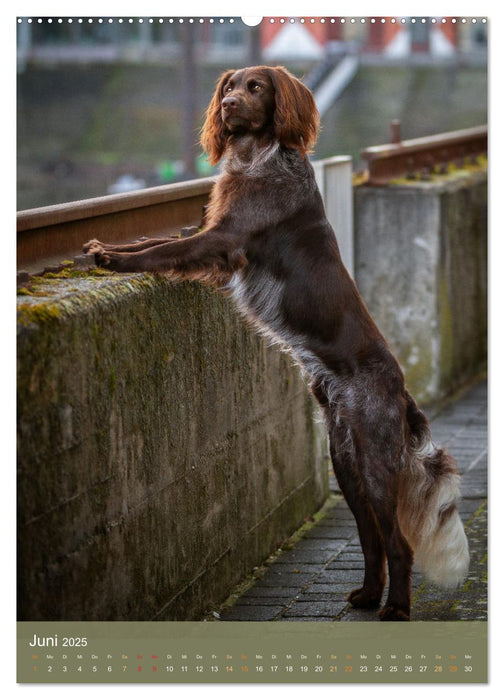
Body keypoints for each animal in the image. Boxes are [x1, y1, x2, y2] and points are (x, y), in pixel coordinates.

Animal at [84, 65, 470, 620]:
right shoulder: (213, 230)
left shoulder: (223, 240)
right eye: (228, 87)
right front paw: (104, 246)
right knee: (371, 537)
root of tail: (401, 390)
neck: (257, 158)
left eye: (257, 88)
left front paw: (112, 259)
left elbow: (160, 251)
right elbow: (152, 241)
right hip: (345, 459)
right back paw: (367, 595)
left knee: (397, 541)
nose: (228, 107)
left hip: (376, 462)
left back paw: (395, 607)